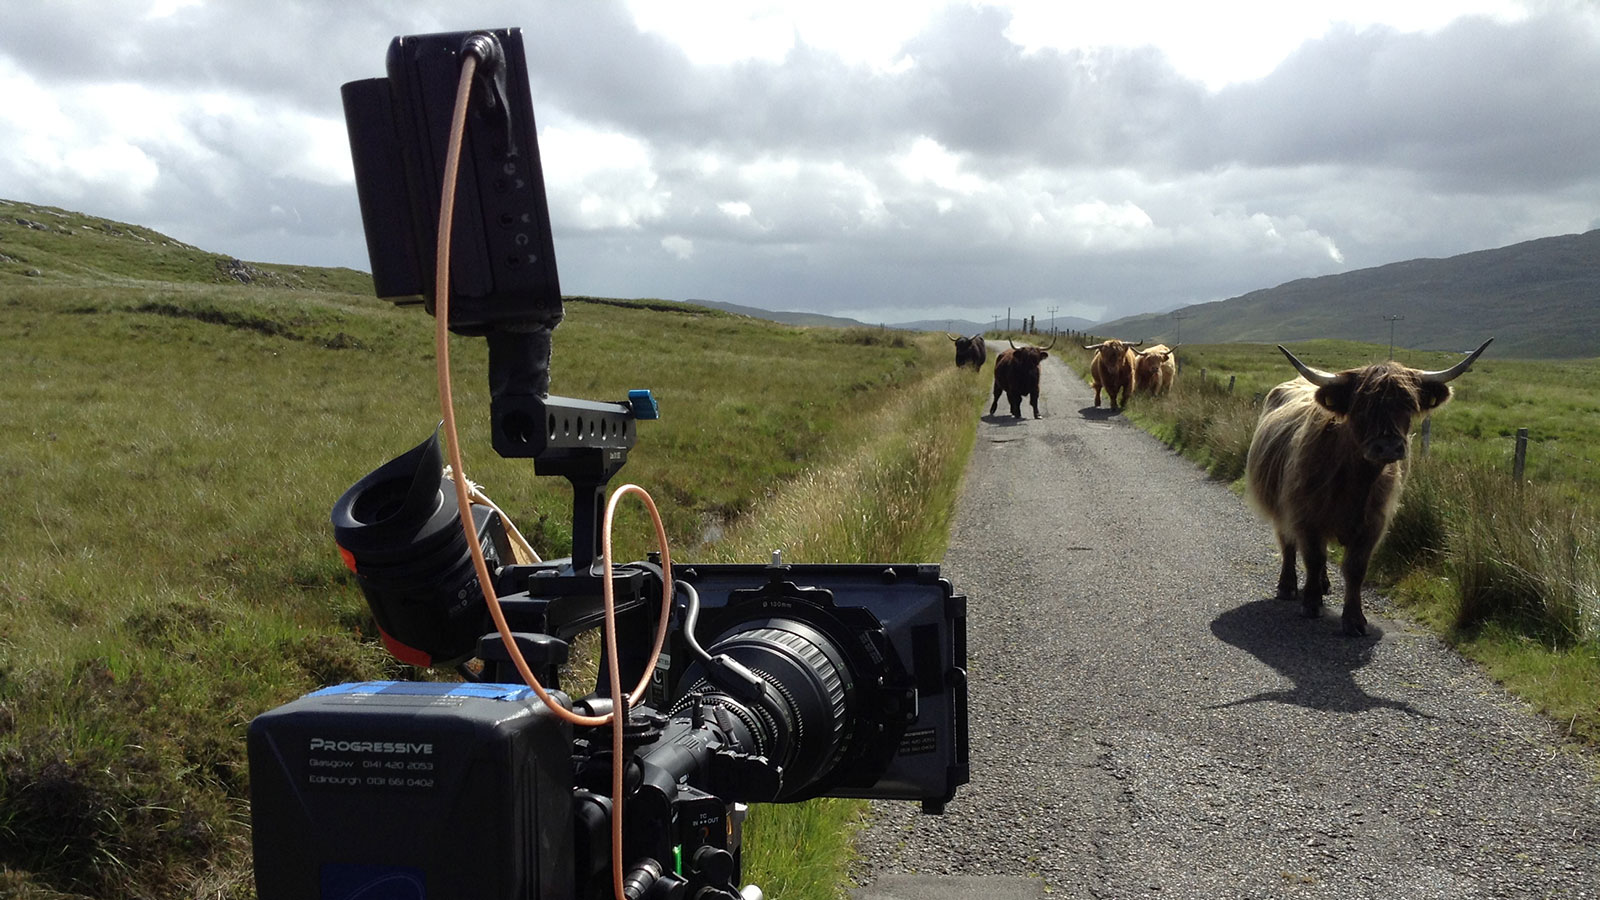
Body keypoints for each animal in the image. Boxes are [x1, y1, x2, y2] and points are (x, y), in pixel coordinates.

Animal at [1241, 336, 1491, 630]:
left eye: (1408, 405)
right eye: (1360, 406)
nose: (1388, 446)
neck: (1355, 482)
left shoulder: (1374, 523)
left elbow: (1355, 568)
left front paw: (1354, 619)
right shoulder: (1305, 515)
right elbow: (1313, 557)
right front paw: (1311, 604)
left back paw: (1324, 585)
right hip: (1280, 506)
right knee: (1287, 543)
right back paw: (1288, 587)